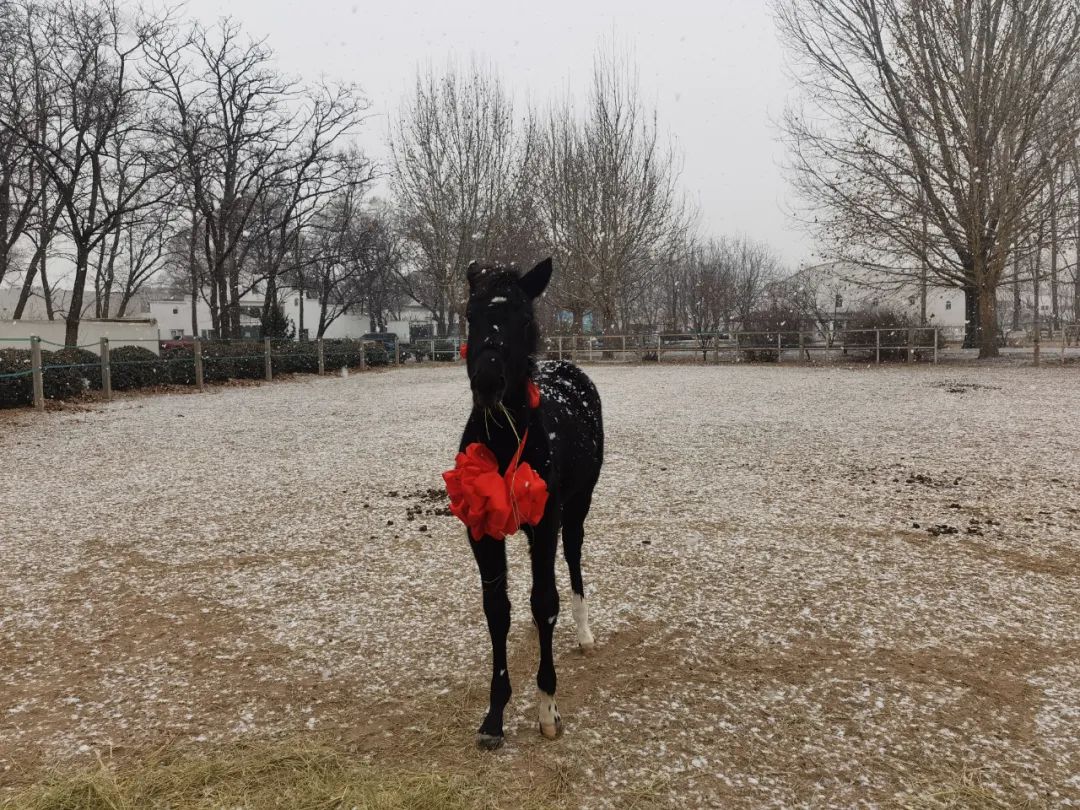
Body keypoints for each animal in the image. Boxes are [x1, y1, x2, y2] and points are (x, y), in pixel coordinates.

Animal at [451, 257, 604, 751]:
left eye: (521, 318)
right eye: (470, 315)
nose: (487, 383)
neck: (504, 440)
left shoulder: (548, 518)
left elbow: (545, 601)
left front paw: (548, 710)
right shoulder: (481, 529)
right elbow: (497, 610)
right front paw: (494, 716)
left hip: (576, 508)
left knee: (571, 560)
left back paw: (583, 631)